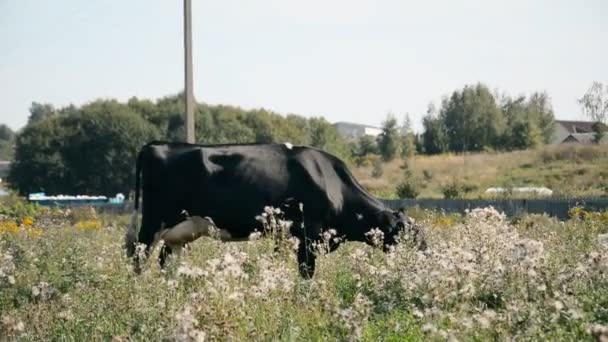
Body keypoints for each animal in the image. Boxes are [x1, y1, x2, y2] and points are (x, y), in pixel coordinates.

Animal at [124, 141, 428, 278]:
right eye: (410, 234)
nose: (428, 255)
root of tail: (157, 145)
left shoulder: (287, 236)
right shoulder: (308, 235)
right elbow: (307, 273)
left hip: (182, 231)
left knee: (166, 261)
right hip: (153, 223)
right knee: (138, 258)